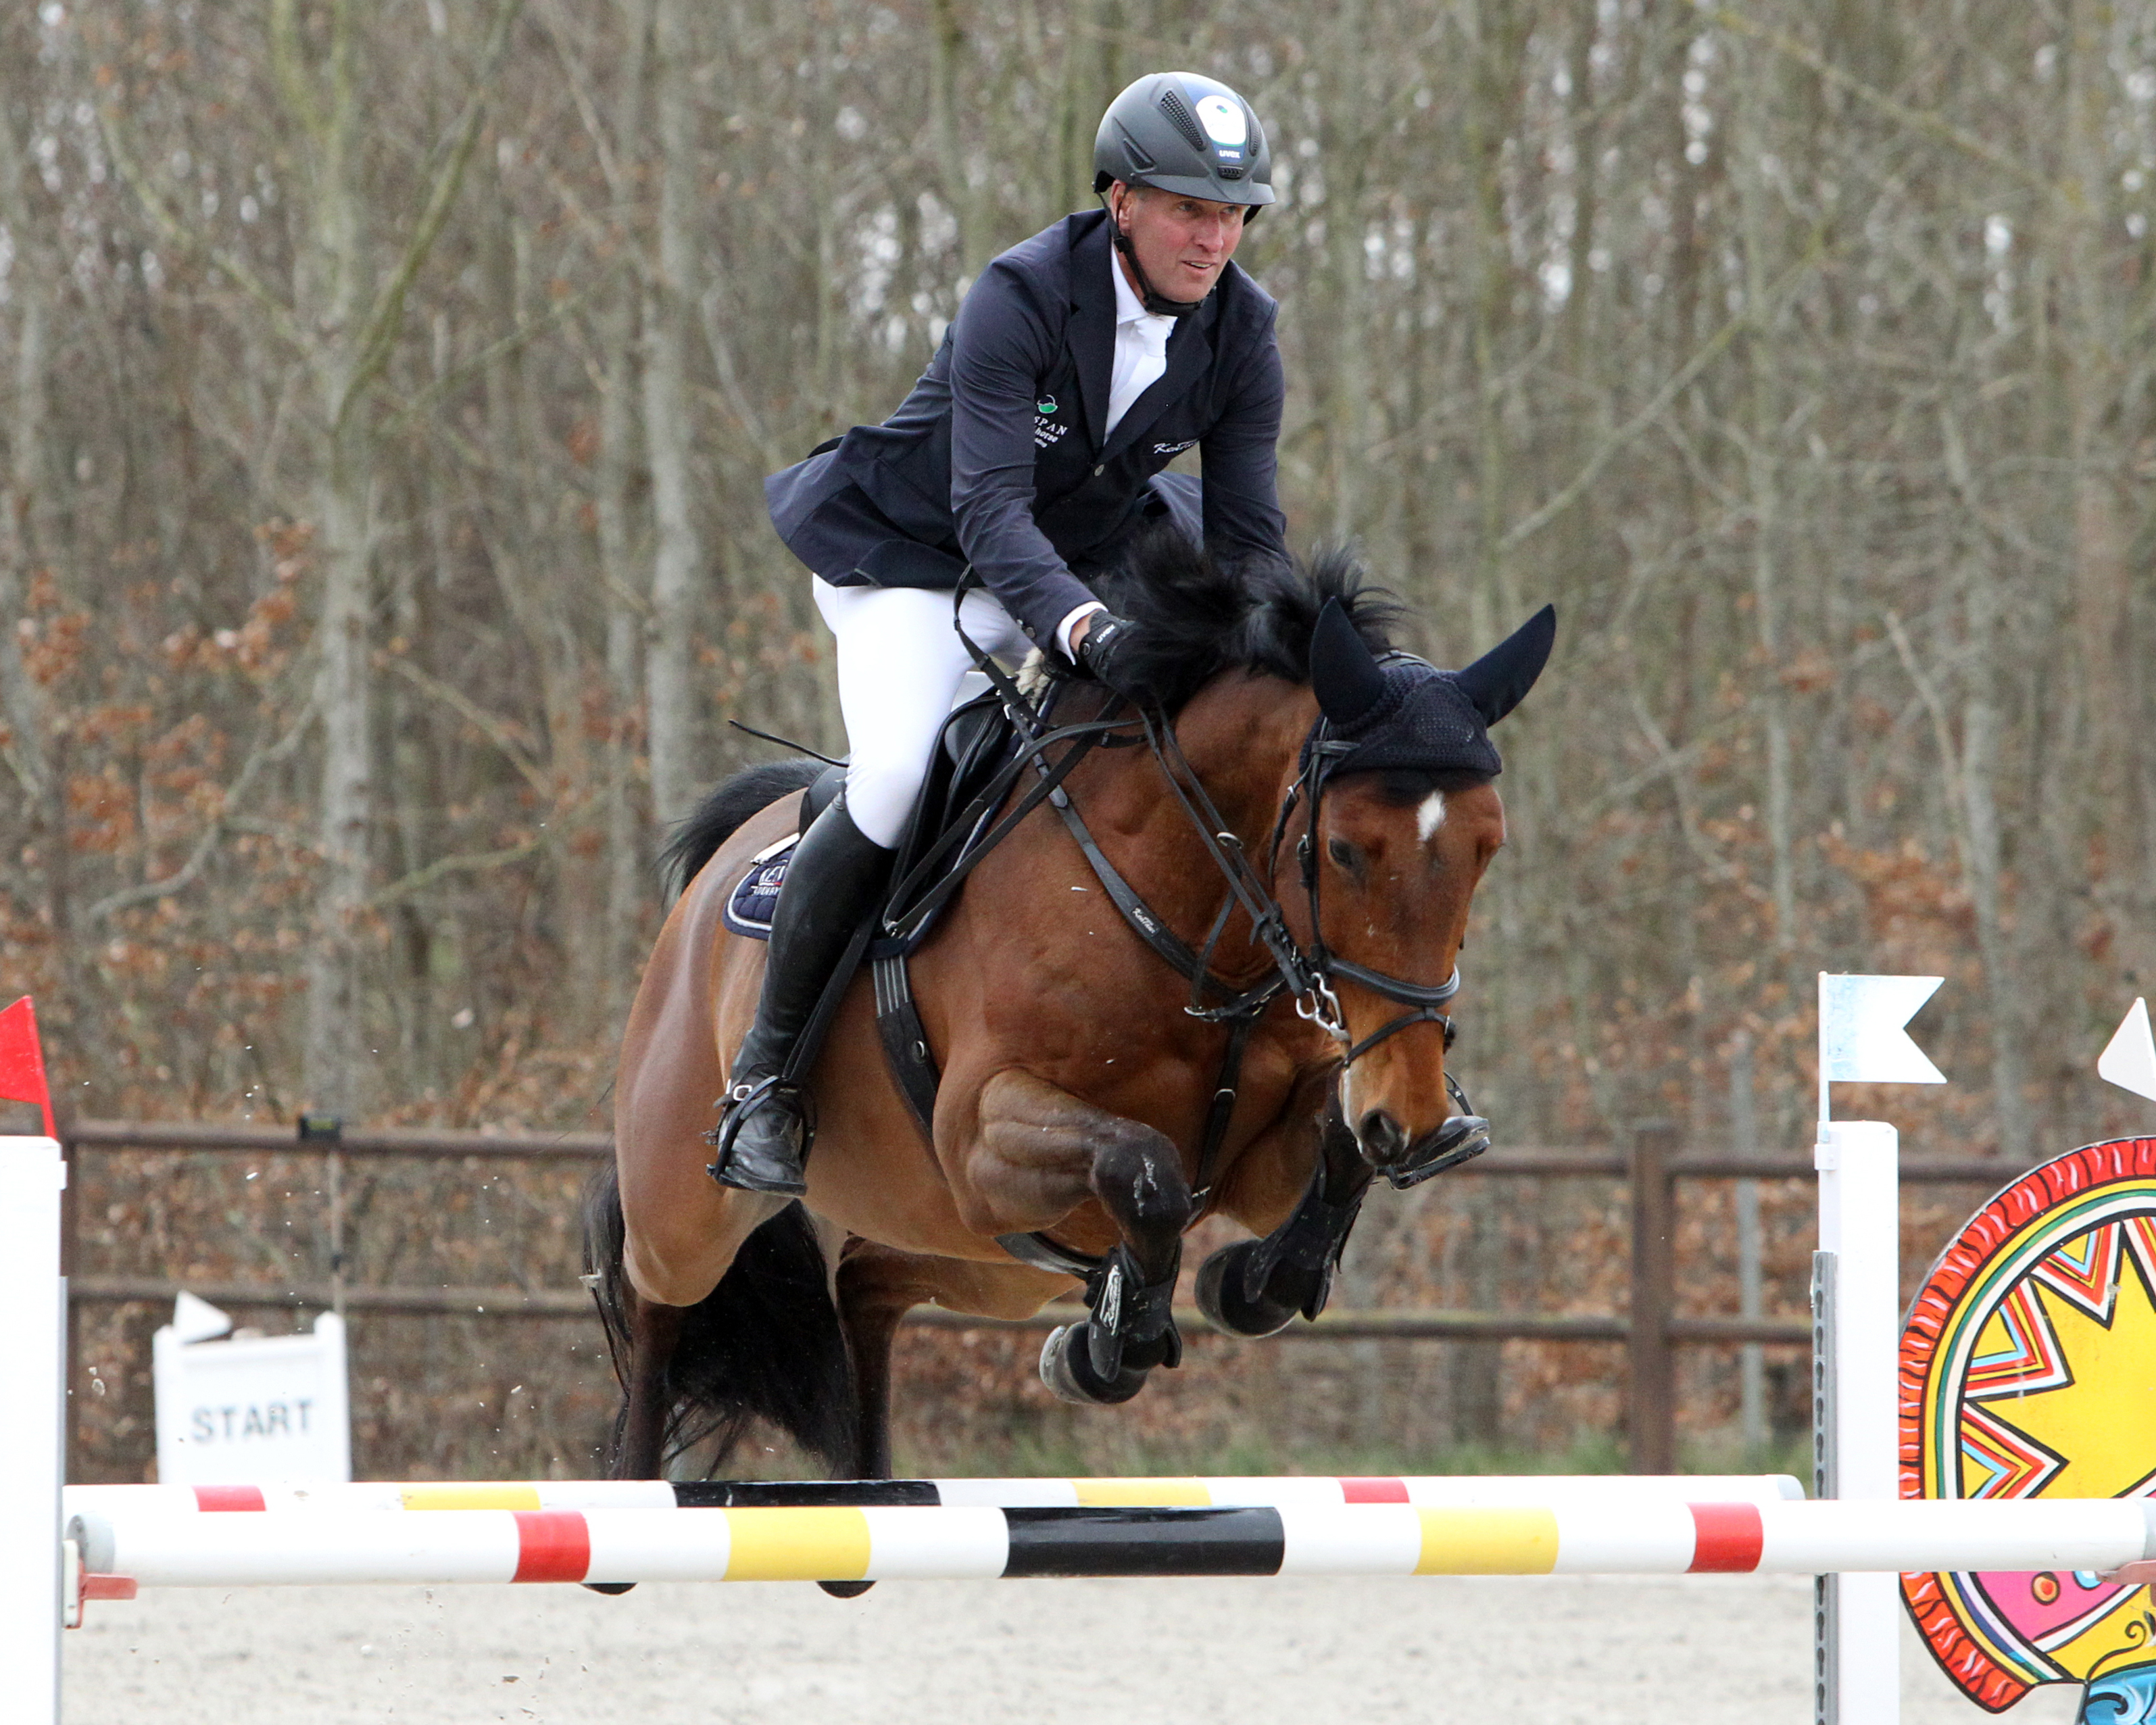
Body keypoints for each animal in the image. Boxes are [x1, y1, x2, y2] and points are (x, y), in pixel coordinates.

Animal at [584, 537, 1554, 1508]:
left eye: (1486, 848)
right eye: (1344, 850)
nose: (1412, 1114)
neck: (1187, 925)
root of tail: (717, 871)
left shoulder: (1260, 1155)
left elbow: (1331, 1155)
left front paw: (1248, 1284)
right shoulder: (982, 1135)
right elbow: (1145, 1169)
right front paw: (1113, 1340)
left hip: (973, 1254)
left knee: (867, 1287)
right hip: (689, 1212)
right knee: (654, 1307)